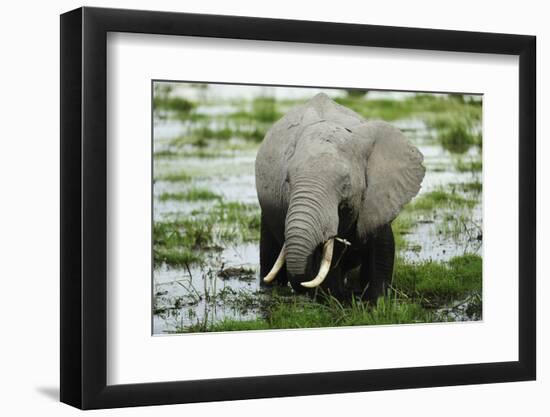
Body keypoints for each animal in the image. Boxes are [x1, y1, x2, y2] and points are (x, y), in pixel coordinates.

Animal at [254, 93, 426, 302]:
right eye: (287, 181)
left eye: (346, 184)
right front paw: (337, 300)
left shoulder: (377, 199)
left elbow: (382, 248)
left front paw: (377, 301)